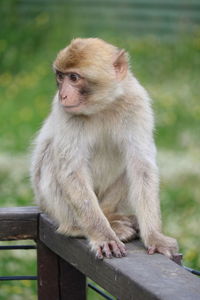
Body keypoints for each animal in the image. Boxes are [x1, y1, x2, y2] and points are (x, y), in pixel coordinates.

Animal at [30, 37, 178, 258]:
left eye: (73, 77)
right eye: (60, 76)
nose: (63, 95)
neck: (103, 106)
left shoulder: (137, 103)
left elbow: (141, 166)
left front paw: (154, 236)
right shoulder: (66, 112)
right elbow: (72, 172)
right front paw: (103, 236)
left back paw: (112, 218)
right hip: (49, 205)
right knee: (50, 159)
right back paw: (78, 228)